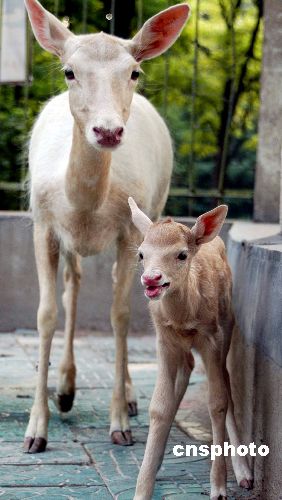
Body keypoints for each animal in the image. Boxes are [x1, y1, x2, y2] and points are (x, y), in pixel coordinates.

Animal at [24, 0, 191, 454]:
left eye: (133, 72)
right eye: (69, 71)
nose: (108, 130)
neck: (87, 205)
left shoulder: (130, 232)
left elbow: (120, 314)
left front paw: (120, 425)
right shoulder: (42, 222)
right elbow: (46, 313)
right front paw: (35, 430)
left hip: (155, 208)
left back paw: (129, 396)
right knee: (74, 282)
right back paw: (66, 388)